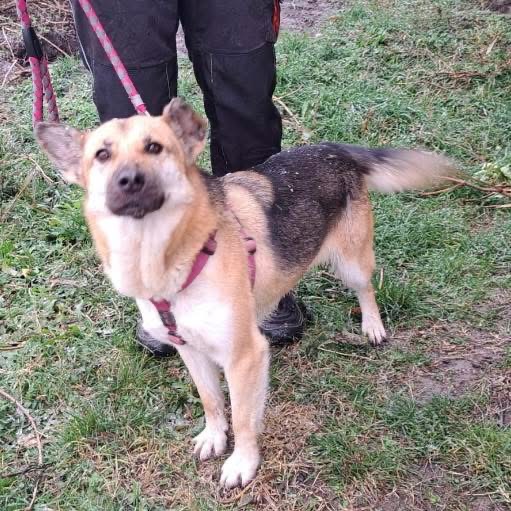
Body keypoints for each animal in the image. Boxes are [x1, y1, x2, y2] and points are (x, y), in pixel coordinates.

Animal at [35, 98, 455, 488]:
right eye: (102, 155)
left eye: (154, 147)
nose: (129, 180)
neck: (169, 258)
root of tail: (336, 149)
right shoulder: (191, 350)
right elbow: (211, 401)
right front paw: (214, 436)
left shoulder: (244, 356)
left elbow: (243, 417)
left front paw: (243, 462)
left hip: (351, 261)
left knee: (367, 288)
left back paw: (371, 326)